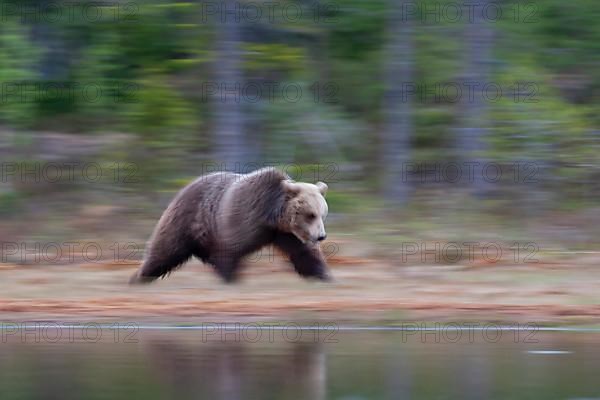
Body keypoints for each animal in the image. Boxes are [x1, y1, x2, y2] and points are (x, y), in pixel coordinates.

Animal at [128, 166, 330, 284]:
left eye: (322, 214)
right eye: (311, 215)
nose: (321, 236)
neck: (272, 216)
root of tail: (185, 187)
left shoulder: (286, 233)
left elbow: (304, 253)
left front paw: (323, 275)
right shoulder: (243, 218)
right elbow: (230, 249)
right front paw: (231, 278)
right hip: (186, 220)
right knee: (165, 249)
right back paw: (139, 277)